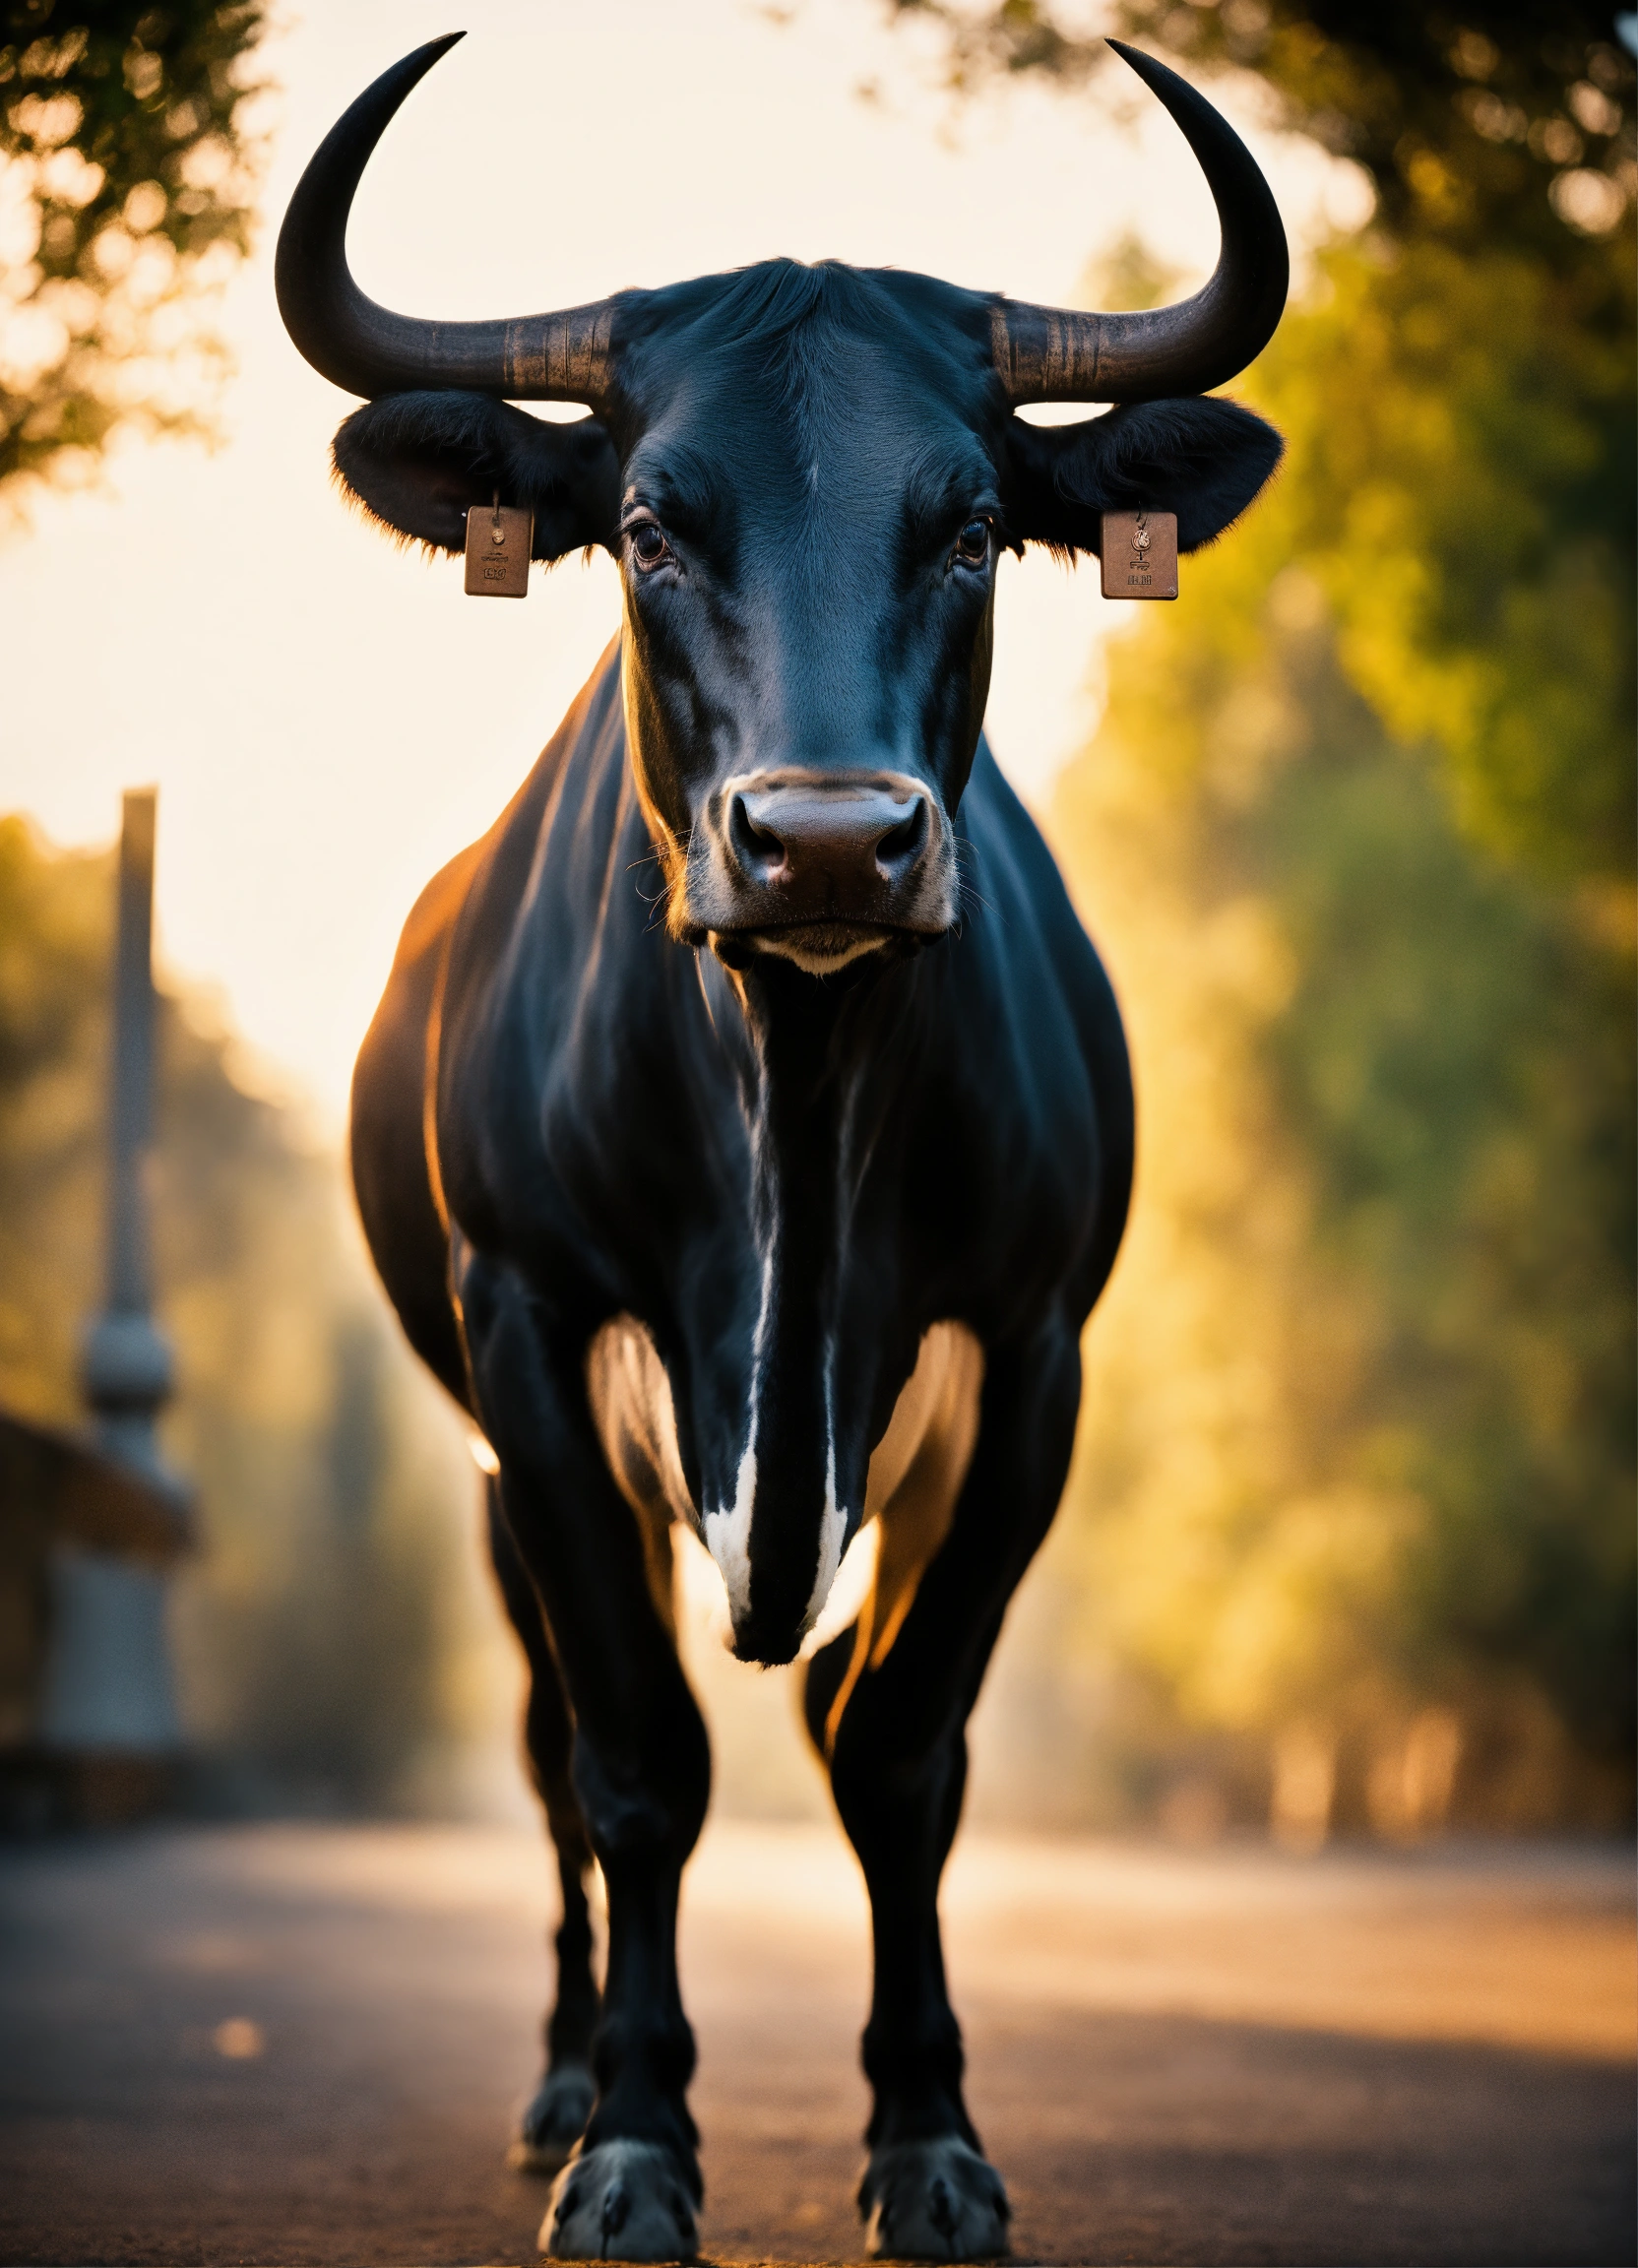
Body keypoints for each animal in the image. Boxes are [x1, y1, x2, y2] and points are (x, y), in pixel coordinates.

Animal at [275, 32, 1285, 2261]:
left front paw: (927, 2137)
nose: (827, 841)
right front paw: (634, 2138)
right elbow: (637, 1761)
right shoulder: (532, 1349)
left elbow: (896, 1747)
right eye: (651, 522)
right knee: (551, 1745)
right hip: (492, 1474)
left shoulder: (1026, 1361)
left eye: (975, 521)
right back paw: (561, 2080)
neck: (795, 1133)